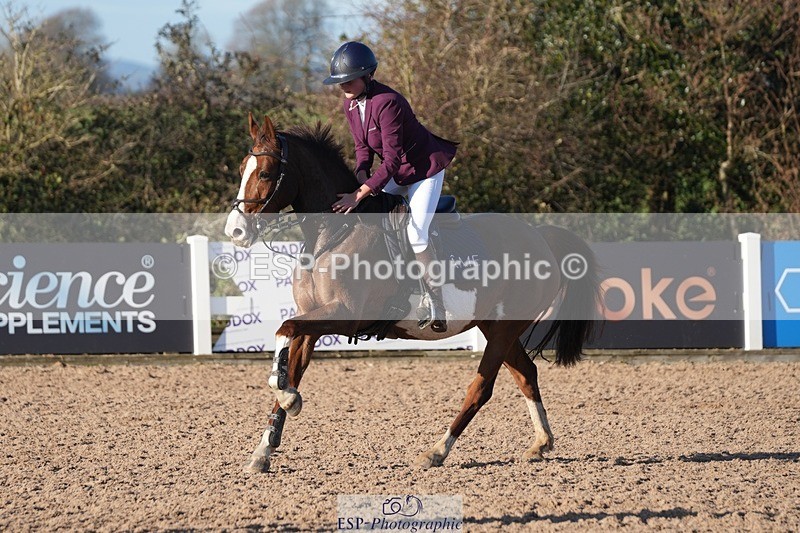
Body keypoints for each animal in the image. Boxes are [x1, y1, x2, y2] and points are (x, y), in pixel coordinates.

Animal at [224, 114, 601, 473]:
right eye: (242, 170)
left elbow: (283, 331)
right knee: (526, 373)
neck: (331, 235)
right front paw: (264, 449)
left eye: (267, 172)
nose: (235, 231)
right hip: (496, 328)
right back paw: (541, 443)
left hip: (503, 331)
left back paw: (436, 452)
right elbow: (288, 362)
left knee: (481, 389)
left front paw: (291, 400)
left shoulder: (344, 315)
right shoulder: (313, 323)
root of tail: (540, 237)